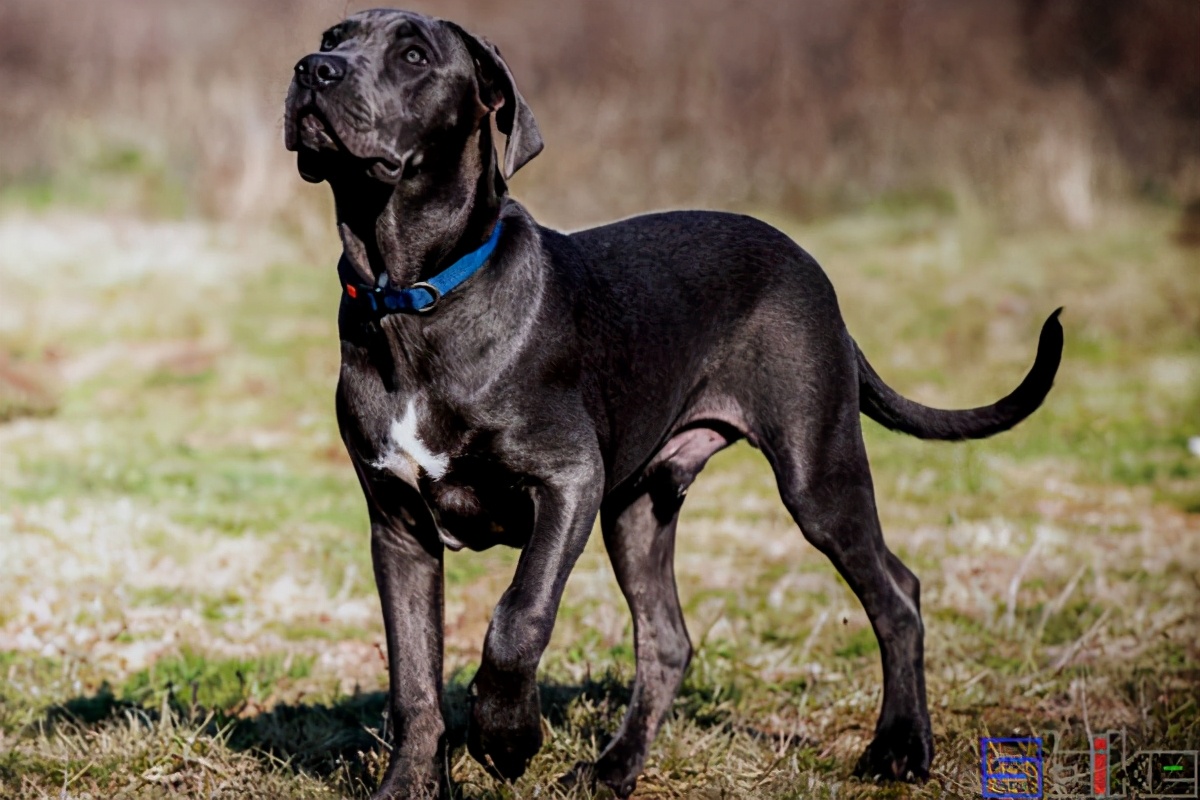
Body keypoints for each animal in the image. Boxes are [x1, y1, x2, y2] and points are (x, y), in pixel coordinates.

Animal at [280, 9, 1060, 796]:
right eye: (334, 35)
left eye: (414, 56)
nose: (313, 69)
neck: (412, 297)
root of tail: (813, 271)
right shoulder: (399, 524)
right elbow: (413, 674)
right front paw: (413, 781)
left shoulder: (568, 481)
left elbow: (518, 616)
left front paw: (505, 736)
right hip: (639, 508)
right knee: (669, 639)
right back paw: (613, 768)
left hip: (816, 472)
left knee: (897, 591)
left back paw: (901, 748)